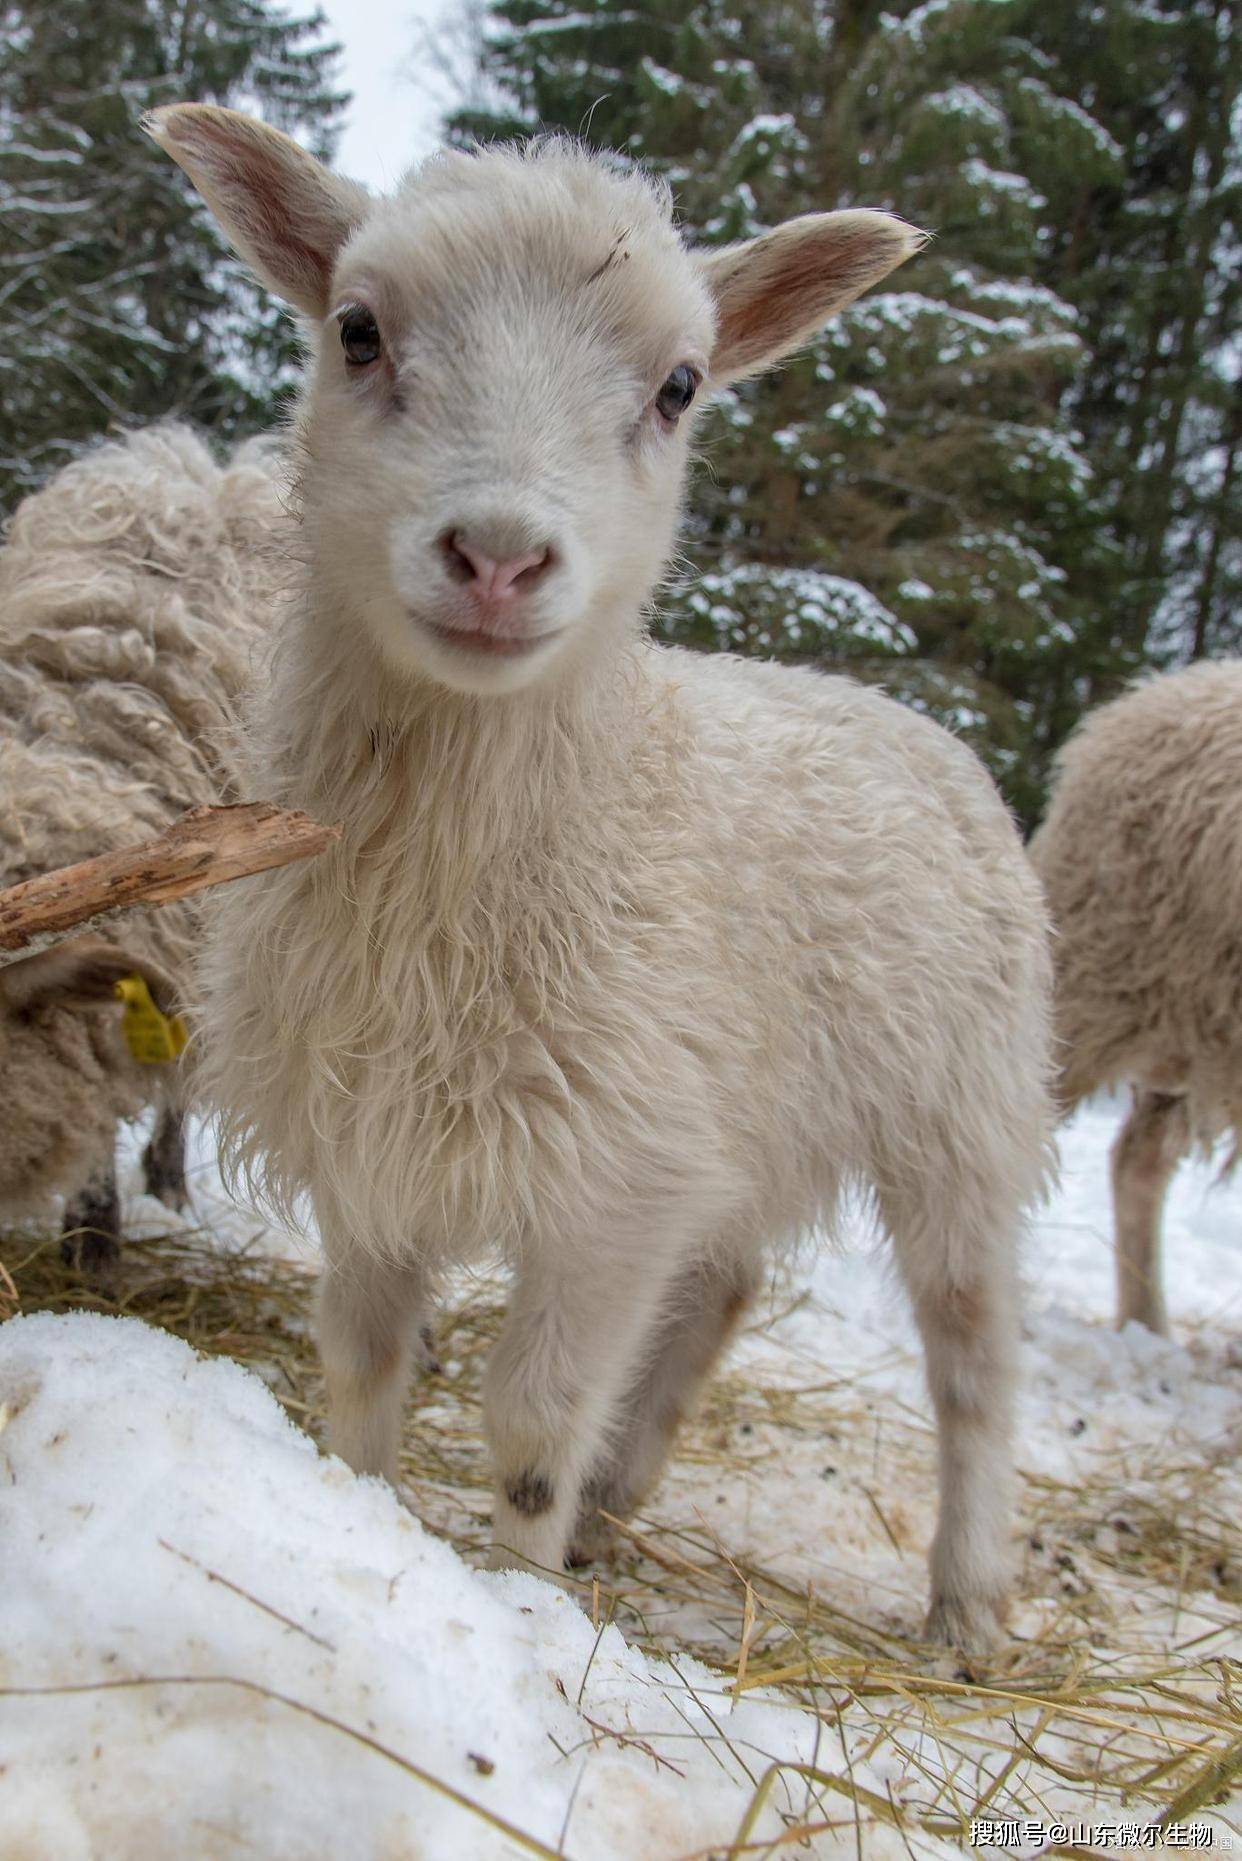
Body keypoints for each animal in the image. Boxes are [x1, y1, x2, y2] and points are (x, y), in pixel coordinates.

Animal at [150, 105, 1057, 1645]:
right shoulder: (377, 1138)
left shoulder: (610, 1183)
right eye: (356, 330)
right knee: (726, 1282)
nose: (498, 557)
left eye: (681, 386)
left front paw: (517, 1592)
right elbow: (363, 1364)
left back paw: (967, 1605)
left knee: (974, 1358)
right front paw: (352, 1513)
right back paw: (623, 1493)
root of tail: (897, 711)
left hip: (962, 1109)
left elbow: (527, 1425)